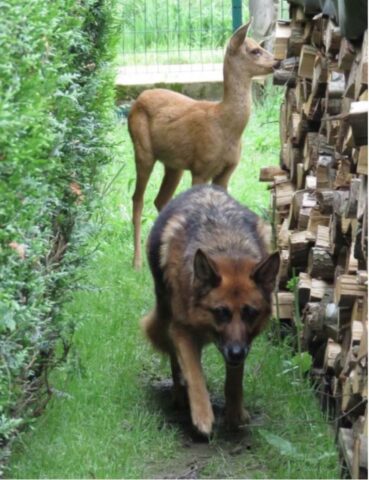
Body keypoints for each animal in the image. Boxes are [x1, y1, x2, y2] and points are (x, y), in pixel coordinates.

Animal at [128, 20, 278, 268]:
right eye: (254, 50)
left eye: (261, 46)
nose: (277, 61)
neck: (225, 125)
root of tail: (138, 99)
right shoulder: (201, 167)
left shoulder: (226, 171)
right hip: (142, 151)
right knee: (137, 199)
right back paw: (137, 263)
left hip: (174, 165)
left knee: (161, 200)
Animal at [142, 185, 278, 436]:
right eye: (221, 312)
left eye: (250, 313)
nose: (236, 353)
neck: (227, 247)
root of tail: (204, 186)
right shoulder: (182, 331)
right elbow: (195, 375)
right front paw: (203, 417)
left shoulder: (242, 343)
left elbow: (235, 381)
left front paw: (234, 414)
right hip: (166, 318)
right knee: (175, 360)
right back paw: (179, 395)